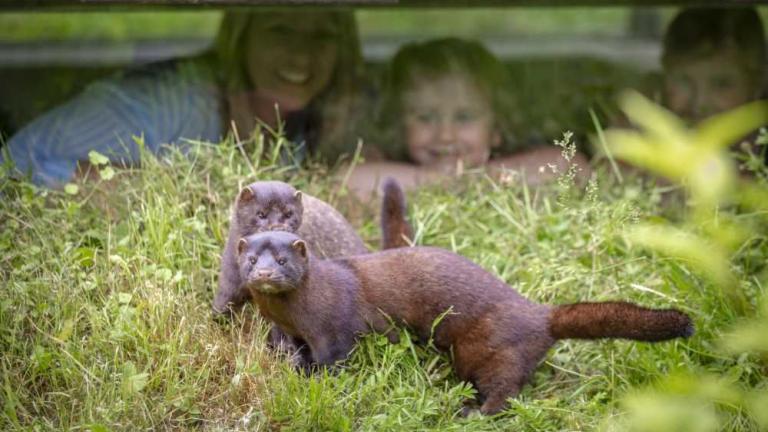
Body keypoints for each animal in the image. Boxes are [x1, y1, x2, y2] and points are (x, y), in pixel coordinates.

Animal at [237, 231, 693, 416]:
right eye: (251, 257)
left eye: (283, 259)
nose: (264, 273)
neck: (296, 315)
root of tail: (537, 313)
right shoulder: (294, 332)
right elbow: (296, 353)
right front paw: (295, 367)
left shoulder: (334, 330)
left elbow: (334, 360)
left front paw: (320, 381)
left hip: (488, 350)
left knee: (505, 389)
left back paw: (472, 411)